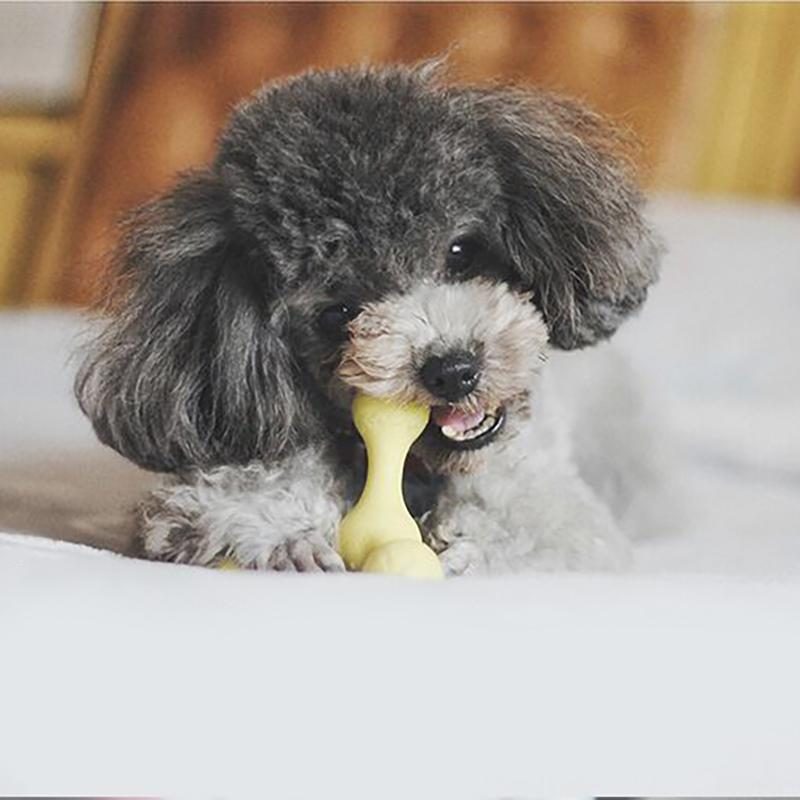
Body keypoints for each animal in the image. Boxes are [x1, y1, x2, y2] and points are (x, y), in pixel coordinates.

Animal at [75, 62, 664, 576]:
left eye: (460, 251)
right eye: (339, 313)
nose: (453, 370)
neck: (415, 472)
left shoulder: (563, 510)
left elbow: (539, 528)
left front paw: (470, 552)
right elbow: (212, 502)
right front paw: (284, 536)